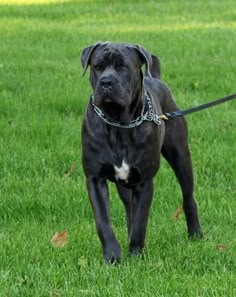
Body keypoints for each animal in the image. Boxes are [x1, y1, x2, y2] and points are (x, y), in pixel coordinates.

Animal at [80, 41, 202, 262]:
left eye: (123, 67)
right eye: (98, 66)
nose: (106, 82)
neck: (118, 124)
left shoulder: (144, 182)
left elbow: (140, 222)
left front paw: (136, 254)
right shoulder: (95, 179)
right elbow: (103, 222)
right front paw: (112, 256)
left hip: (181, 156)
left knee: (188, 195)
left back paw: (196, 233)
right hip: (124, 185)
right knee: (129, 209)